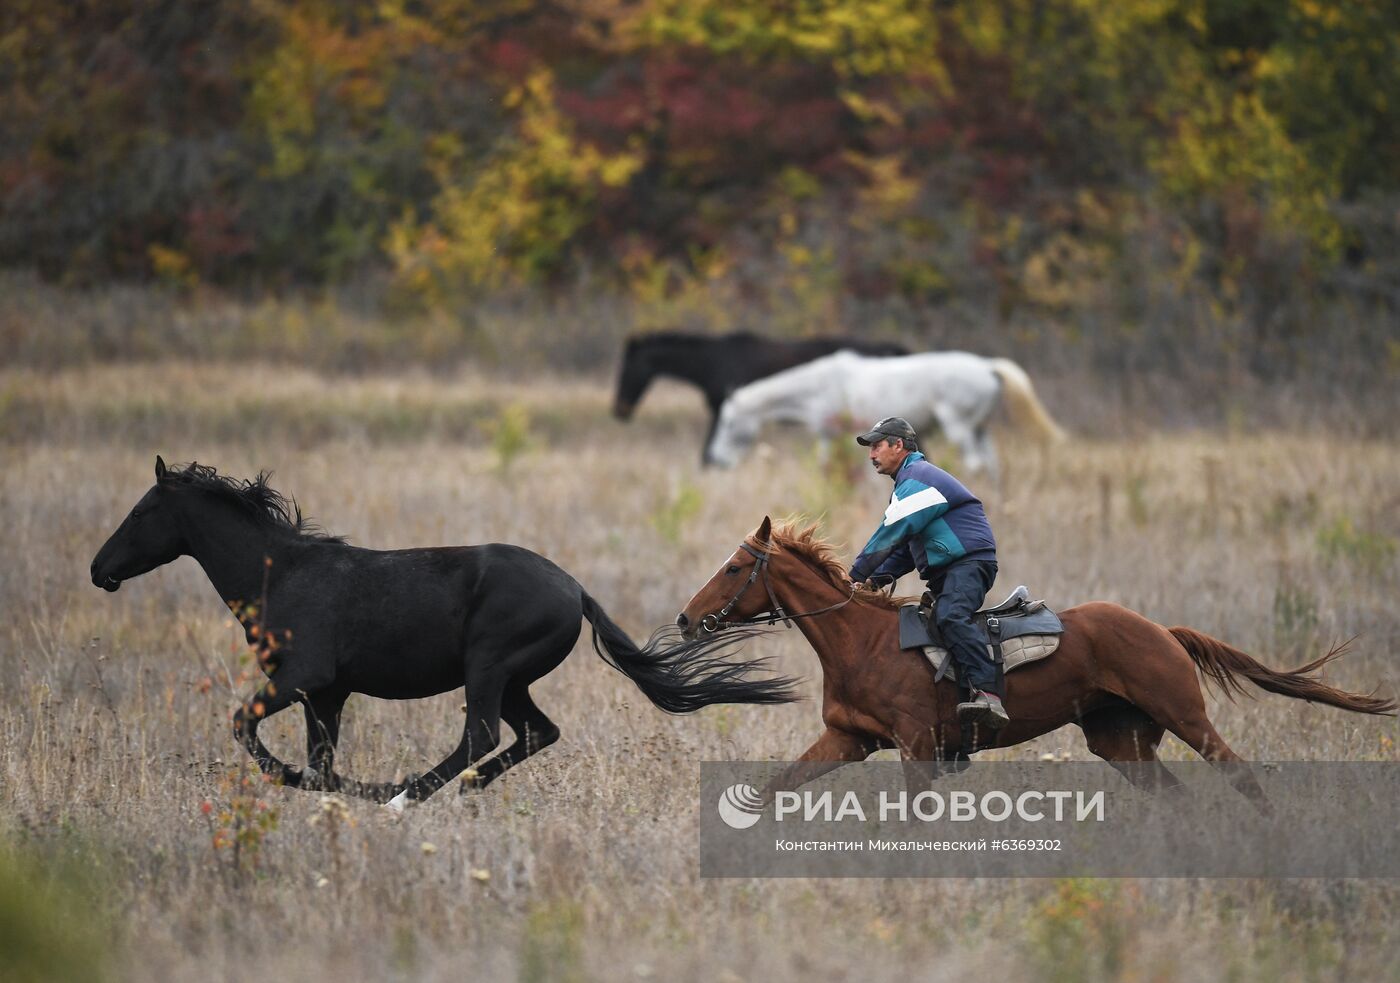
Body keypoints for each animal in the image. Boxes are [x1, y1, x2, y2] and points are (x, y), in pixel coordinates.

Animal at [93, 459, 800, 806]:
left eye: (141, 511)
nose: (100, 569)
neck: (281, 574)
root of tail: (574, 589)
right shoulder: (327, 694)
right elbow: (320, 761)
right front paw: (329, 788)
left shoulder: (302, 679)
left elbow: (246, 727)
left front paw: (344, 787)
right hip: (512, 679)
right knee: (534, 733)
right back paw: (456, 791)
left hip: (488, 668)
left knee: (480, 736)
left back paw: (406, 795)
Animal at [674, 520, 1388, 806]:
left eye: (734, 567)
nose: (685, 619)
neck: (861, 642)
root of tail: (1162, 630)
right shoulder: (847, 740)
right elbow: (775, 787)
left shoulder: (916, 749)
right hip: (1121, 741)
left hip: (1185, 716)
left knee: (1240, 775)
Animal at [705, 352, 1064, 478]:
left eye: (728, 422)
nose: (716, 460)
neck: (819, 386)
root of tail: (988, 367)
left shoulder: (829, 435)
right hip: (980, 429)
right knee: (991, 466)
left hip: (959, 427)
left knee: (975, 465)